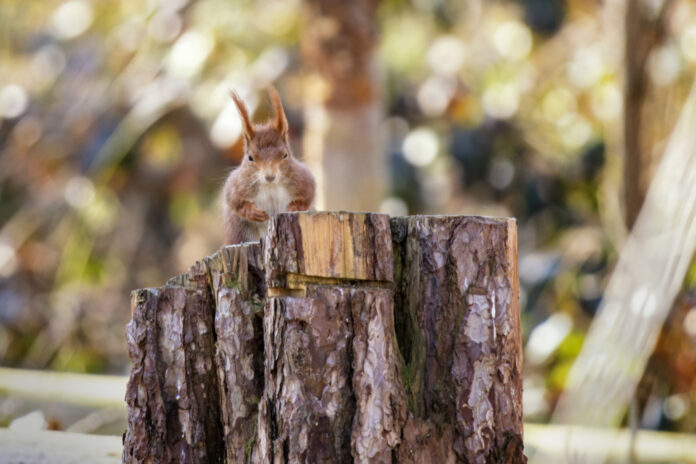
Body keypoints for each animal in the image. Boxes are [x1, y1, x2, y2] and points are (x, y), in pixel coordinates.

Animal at [223, 88, 316, 246]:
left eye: (285, 155)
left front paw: (293, 207)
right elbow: (235, 202)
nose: (270, 176)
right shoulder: (236, 185)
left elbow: (307, 197)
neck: (270, 186)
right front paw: (254, 212)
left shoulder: (304, 180)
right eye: (250, 158)